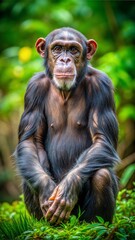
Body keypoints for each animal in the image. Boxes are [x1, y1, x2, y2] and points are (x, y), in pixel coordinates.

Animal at [15, 27, 119, 224]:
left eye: (73, 50)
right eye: (57, 49)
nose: (65, 60)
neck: (66, 91)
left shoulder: (102, 86)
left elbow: (102, 139)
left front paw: (67, 190)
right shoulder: (33, 90)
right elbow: (30, 140)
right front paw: (46, 189)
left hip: (79, 216)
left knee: (102, 176)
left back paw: (93, 226)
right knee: (28, 174)